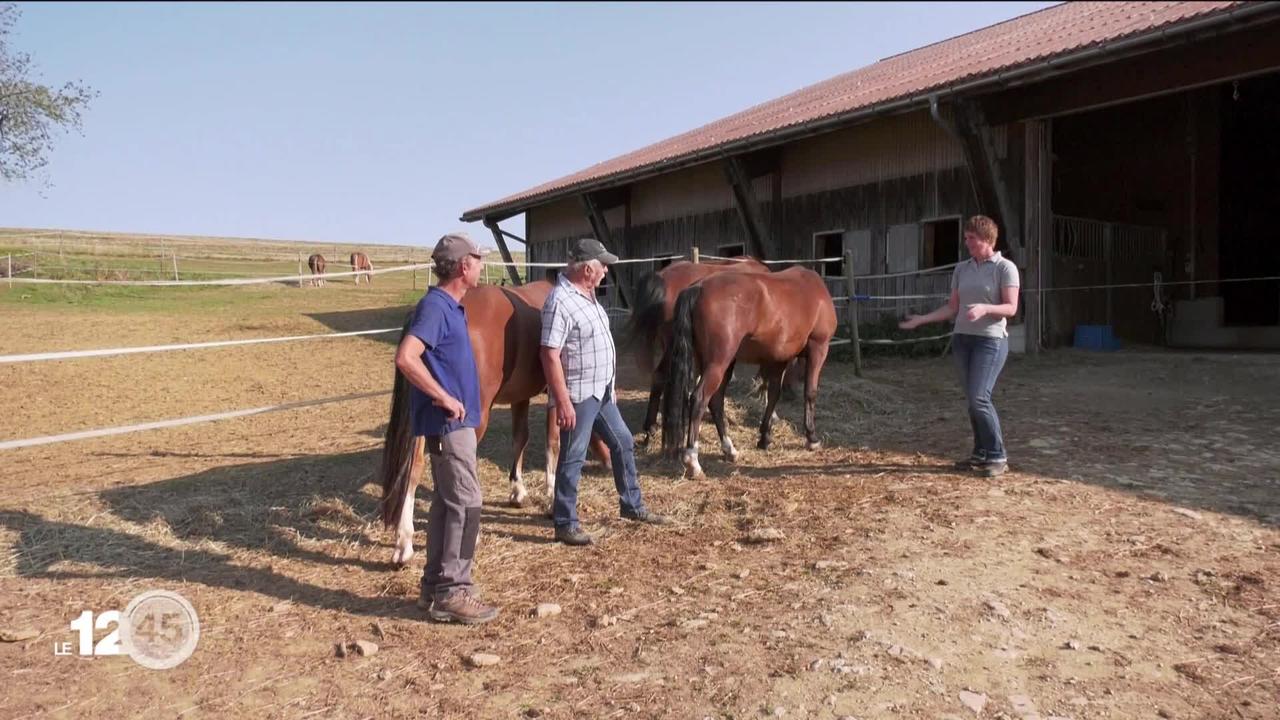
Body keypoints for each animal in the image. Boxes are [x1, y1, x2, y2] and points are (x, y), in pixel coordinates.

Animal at [378, 280, 609, 566]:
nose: (608, 462)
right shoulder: (557, 396)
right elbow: (553, 444)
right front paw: (551, 499)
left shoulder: (520, 397)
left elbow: (520, 438)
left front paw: (517, 491)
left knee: (414, 467)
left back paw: (404, 543)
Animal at [660, 266, 839, 479]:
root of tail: (699, 287)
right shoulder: (818, 348)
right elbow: (810, 393)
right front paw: (812, 438)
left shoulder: (779, 359)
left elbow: (773, 395)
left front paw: (765, 437)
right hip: (718, 363)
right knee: (699, 399)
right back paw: (693, 461)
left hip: (715, 362)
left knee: (715, 401)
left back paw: (729, 449)